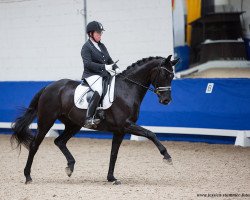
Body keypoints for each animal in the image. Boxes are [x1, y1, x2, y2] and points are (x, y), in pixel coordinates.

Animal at [11, 54, 178, 184]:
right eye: (164, 75)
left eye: (172, 76)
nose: (166, 100)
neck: (127, 89)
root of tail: (48, 87)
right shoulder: (126, 125)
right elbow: (151, 134)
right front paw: (167, 156)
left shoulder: (120, 130)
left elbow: (114, 153)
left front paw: (111, 178)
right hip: (46, 121)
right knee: (34, 145)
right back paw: (28, 176)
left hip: (73, 125)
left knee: (59, 141)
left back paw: (70, 167)